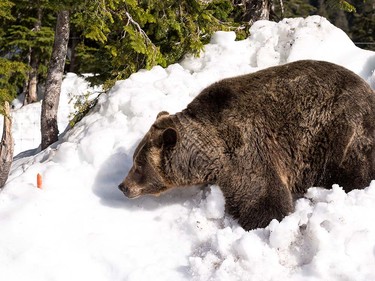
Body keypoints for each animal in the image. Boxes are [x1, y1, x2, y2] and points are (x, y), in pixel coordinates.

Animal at [119, 59, 375, 230]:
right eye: (134, 159)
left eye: (139, 165)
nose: (123, 186)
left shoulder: (245, 148)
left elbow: (263, 197)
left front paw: (268, 220)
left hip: (343, 132)